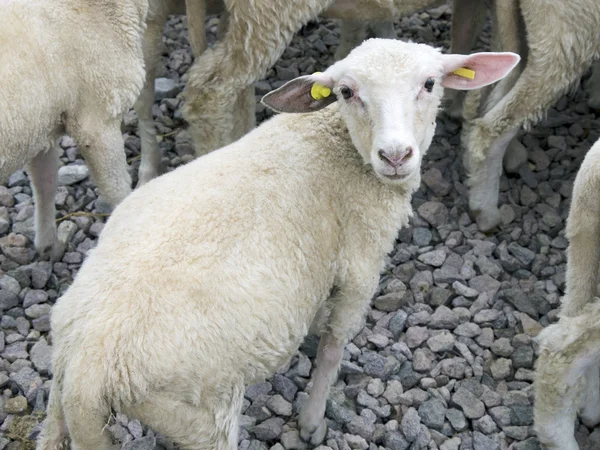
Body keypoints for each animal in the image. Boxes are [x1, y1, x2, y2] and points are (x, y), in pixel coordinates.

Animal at [35, 37, 516, 450]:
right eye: (346, 92)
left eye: (430, 83)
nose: (395, 156)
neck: (332, 140)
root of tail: (87, 373)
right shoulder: (361, 264)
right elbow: (334, 345)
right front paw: (312, 421)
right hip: (200, 412)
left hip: (61, 394)